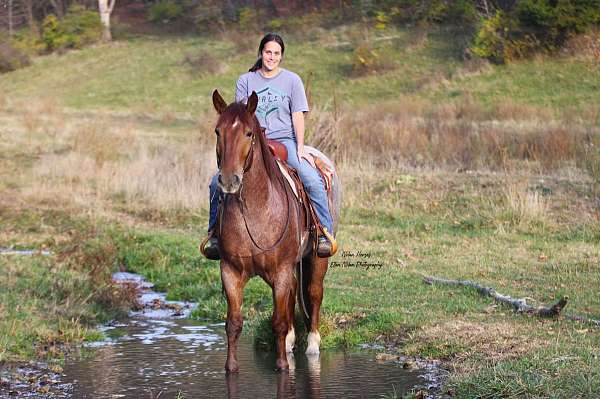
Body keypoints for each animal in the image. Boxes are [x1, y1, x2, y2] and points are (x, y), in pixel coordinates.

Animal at [210, 89, 338, 374]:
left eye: (249, 133)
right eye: (217, 131)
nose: (228, 180)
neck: (255, 211)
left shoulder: (280, 271)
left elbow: (278, 321)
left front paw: (282, 365)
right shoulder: (230, 272)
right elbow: (233, 323)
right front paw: (231, 367)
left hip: (315, 260)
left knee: (313, 293)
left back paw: (312, 344)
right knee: (291, 297)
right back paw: (290, 342)